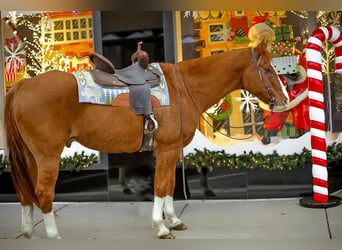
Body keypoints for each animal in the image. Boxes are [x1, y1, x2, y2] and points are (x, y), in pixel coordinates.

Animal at [4, 38, 288, 239]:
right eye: (266, 68)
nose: (284, 100)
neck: (184, 87)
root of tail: (22, 85)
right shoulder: (167, 149)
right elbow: (161, 186)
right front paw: (161, 227)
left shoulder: (169, 152)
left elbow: (170, 185)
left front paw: (173, 221)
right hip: (48, 155)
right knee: (43, 192)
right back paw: (53, 235)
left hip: (30, 156)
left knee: (26, 192)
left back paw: (28, 231)